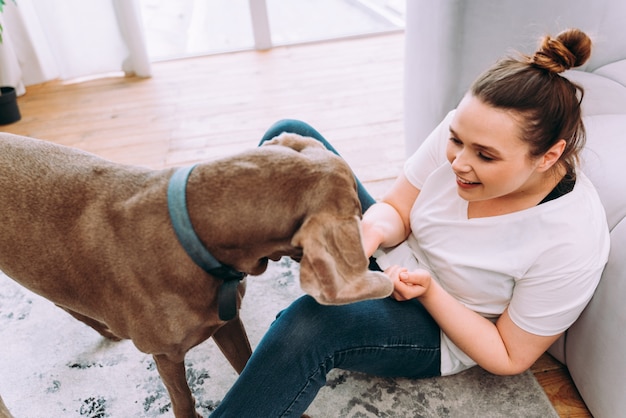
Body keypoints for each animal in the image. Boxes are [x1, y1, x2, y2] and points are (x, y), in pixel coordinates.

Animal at [0, 132, 390, 416]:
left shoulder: (226, 322)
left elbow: (247, 364)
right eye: (357, 215)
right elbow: (184, 401)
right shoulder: (165, 356)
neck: (194, 232)